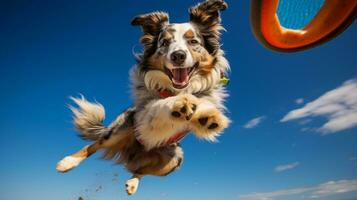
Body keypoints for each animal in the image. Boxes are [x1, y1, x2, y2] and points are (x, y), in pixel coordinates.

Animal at [55, 0, 228, 195]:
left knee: (140, 170)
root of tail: (135, 151)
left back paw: (132, 183)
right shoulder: (145, 114)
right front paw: (179, 103)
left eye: (193, 41)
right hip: (122, 129)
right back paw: (68, 162)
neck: (177, 89)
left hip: (174, 159)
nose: (178, 56)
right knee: (95, 145)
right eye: (164, 42)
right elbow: (159, 104)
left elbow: (203, 106)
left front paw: (208, 117)